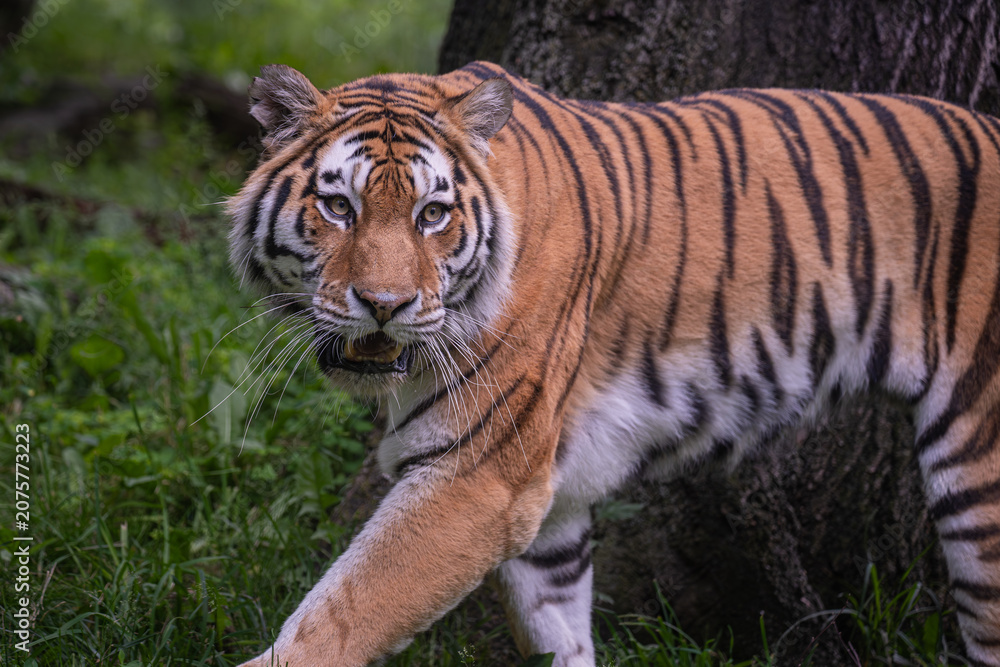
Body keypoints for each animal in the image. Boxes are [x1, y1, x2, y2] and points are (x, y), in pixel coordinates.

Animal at [226, 60, 1000, 666]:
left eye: (432, 215)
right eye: (339, 206)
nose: (385, 305)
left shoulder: (477, 475)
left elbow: (346, 611)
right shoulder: (545, 504)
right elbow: (558, 630)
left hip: (979, 474)